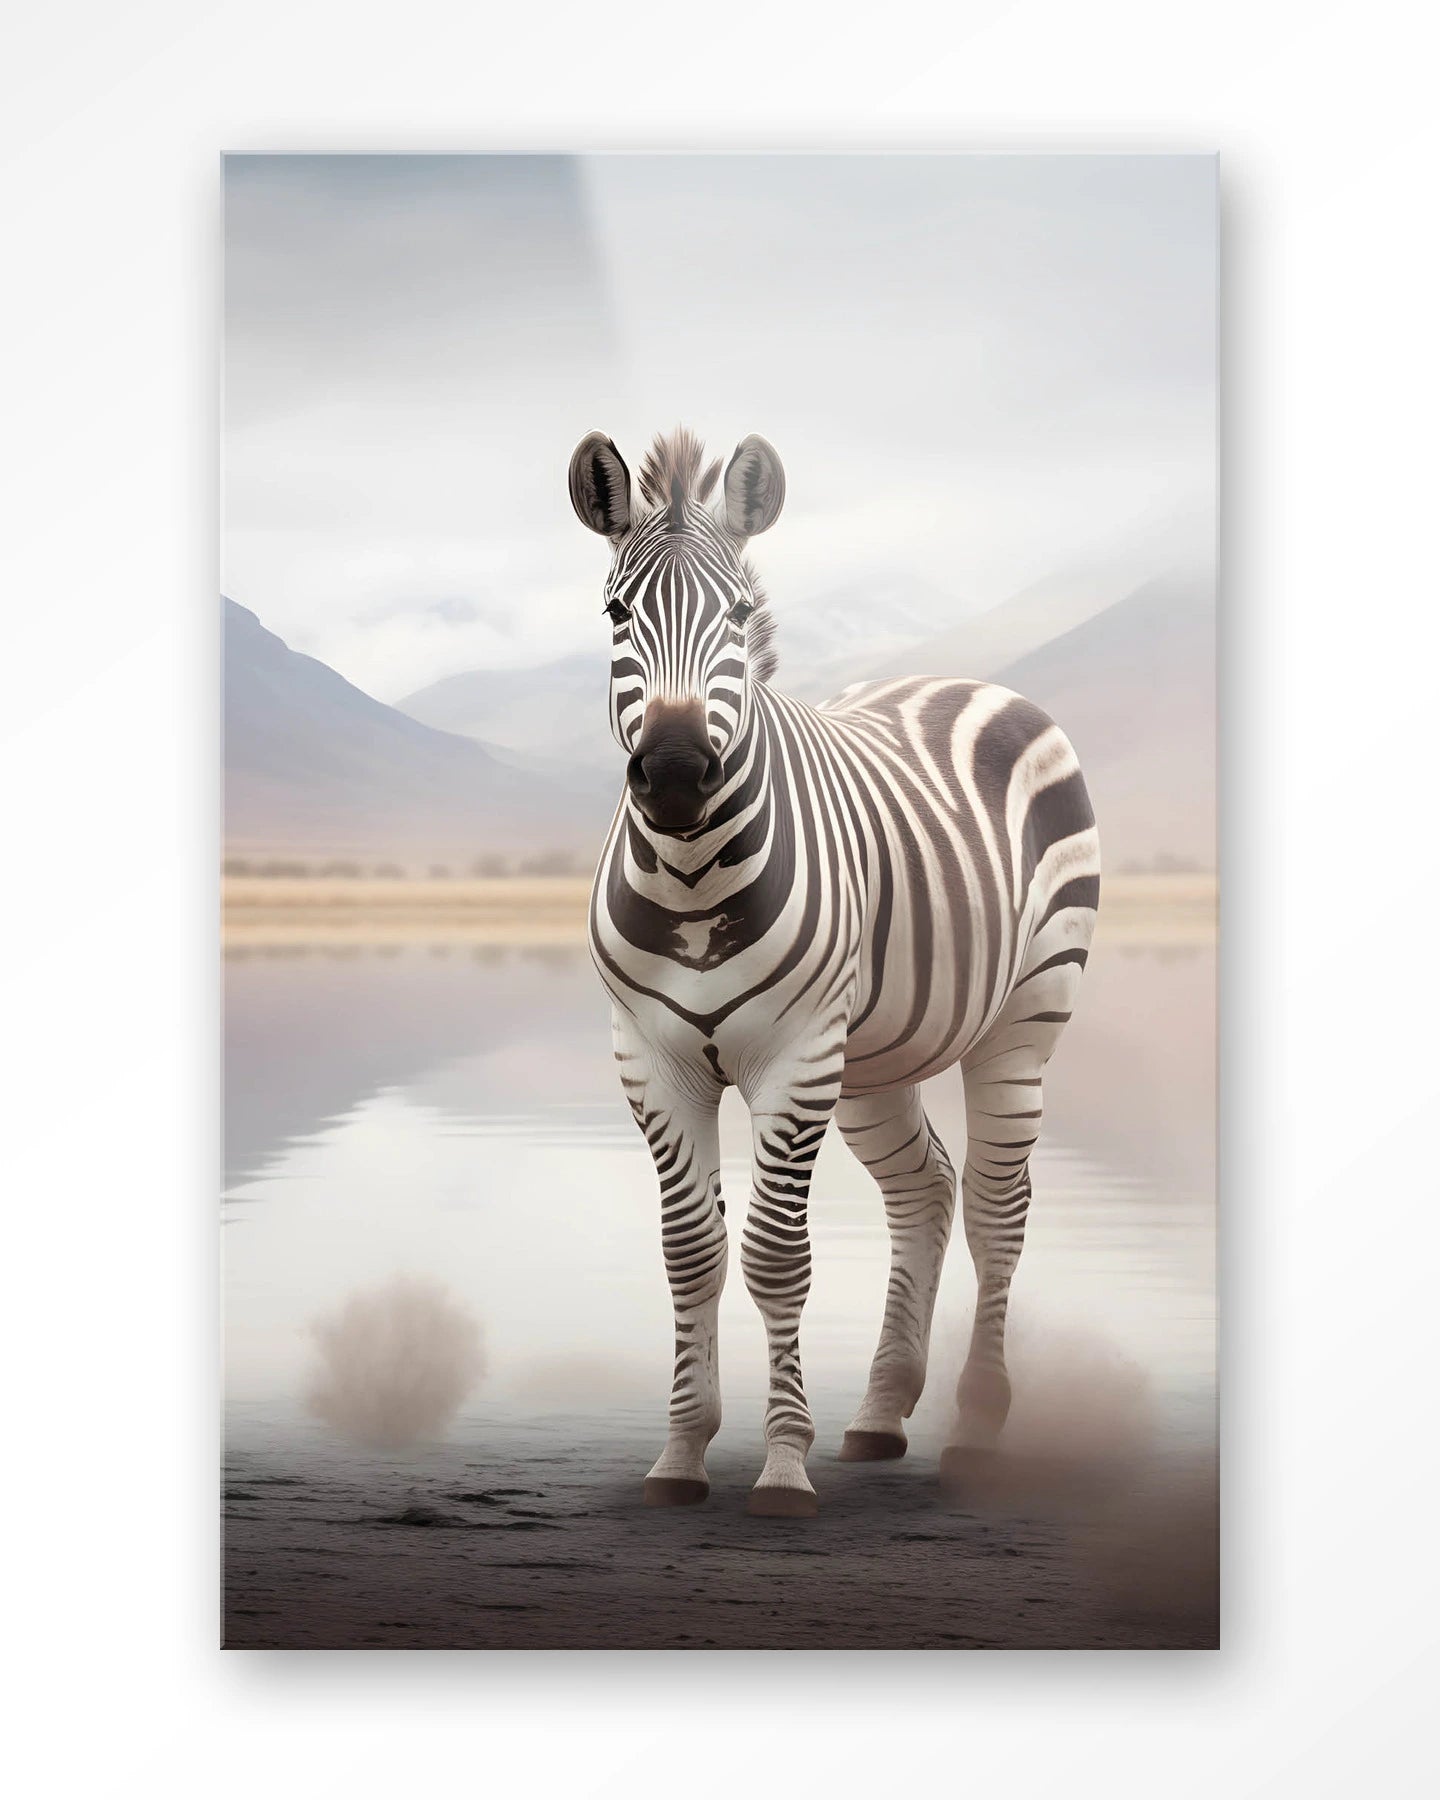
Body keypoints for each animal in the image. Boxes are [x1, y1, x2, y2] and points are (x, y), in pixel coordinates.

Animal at [569, 426, 1099, 1516]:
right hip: (876, 1060)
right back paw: (883, 1413)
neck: (691, 877)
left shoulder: (795, 1056)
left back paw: (974, 1430)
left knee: (997, 1208)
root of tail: (967, 680)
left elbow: (776, 1257)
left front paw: (781, 1466)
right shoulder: (651, 1059)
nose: (675, 773)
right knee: (926, 1190)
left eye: (740, 615)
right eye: (615, 613)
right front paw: (681, 1454)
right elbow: (690, 1255)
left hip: (1024, 1018)